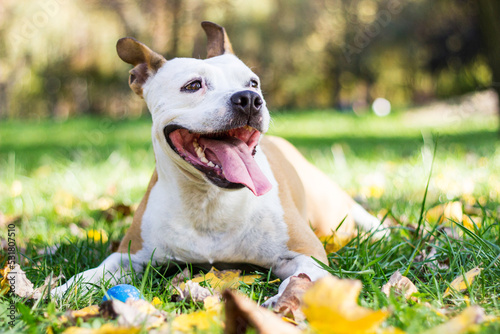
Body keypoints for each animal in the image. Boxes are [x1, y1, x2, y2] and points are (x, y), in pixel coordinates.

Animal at [51, 21, 382, 306]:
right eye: (193, 85)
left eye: (253, 82)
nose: (249, 98)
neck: (209, 200)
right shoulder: (130, 255)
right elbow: (94, 272)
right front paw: (61, 290)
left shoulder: (306, 253)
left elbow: (303, 278)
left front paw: (287, 300)